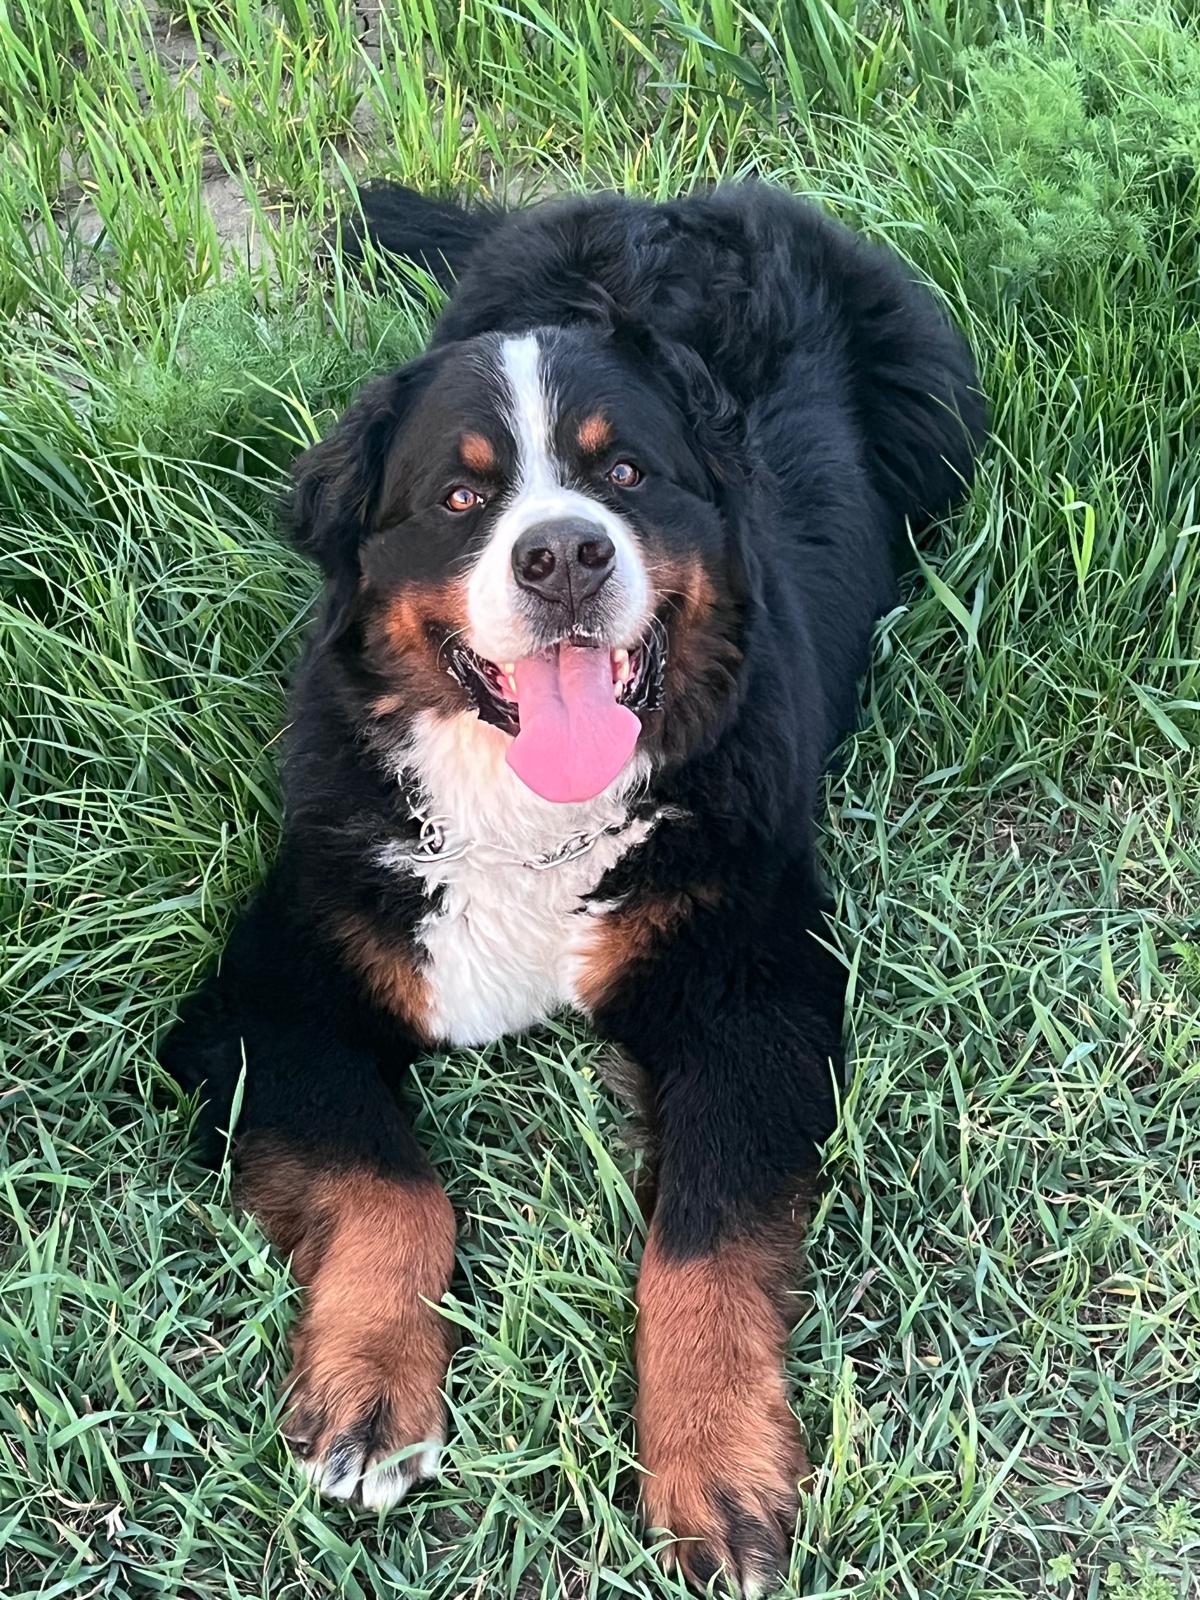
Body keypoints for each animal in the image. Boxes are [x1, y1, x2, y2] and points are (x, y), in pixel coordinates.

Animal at [161, 181, 984, 1595]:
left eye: (627, 475)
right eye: (458, 493)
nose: (560, 557)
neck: (529, 819)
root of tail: (688, 201)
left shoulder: (753, 996)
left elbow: (701, 1243)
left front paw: (717, 1467)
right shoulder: (271, 992)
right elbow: (392, 1180)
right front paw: (372, 1391)